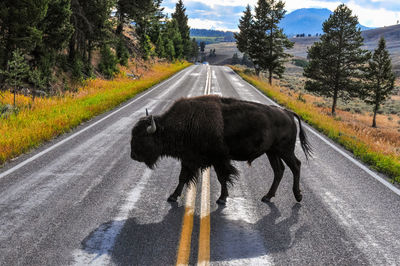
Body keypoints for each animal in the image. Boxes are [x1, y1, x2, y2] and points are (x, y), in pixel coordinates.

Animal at [130, 94, 310, 205]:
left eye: (142, 137)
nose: (133, 155)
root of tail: (288, 112)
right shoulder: (188, 159)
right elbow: (182, 178)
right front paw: (173, 196)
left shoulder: (219, 159)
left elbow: (222, 177)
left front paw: (222, 199)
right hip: (272, 152)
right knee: (279, 170)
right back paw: (267, 196)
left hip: (285, 150)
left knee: (296, 166)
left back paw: (298, 196)